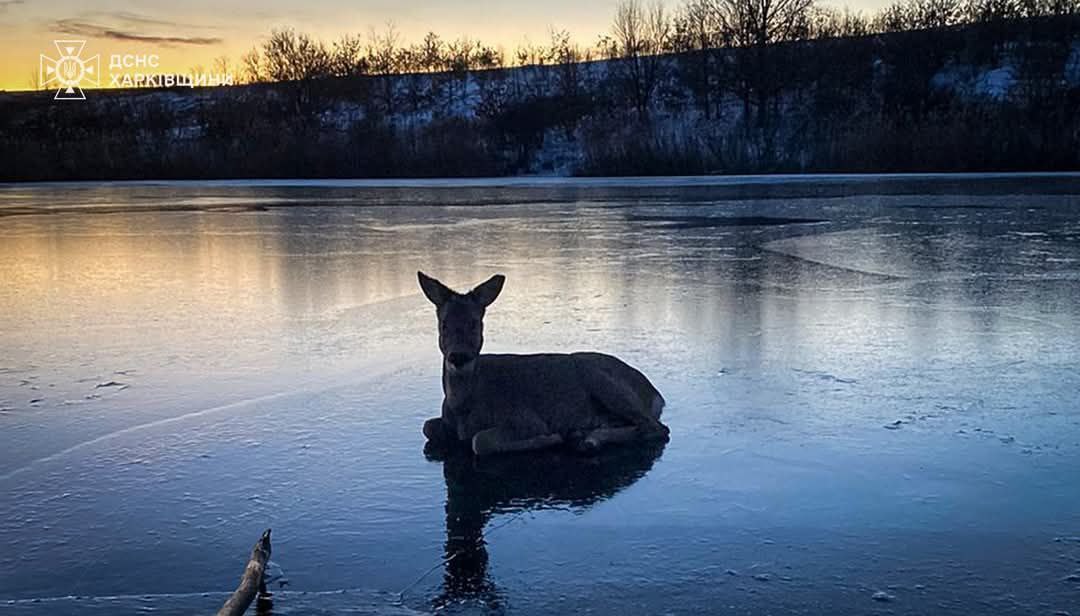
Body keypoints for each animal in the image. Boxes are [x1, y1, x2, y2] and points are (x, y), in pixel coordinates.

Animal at [414, 271, 660, 453]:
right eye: (444, 324)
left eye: (475, 323)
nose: (459, 357)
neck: (463, 407)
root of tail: (656, 395)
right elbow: (427, 426)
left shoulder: (525, 418)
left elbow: (479, 442)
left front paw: (550, 438)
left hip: (602, 380)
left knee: (656, 428)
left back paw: (588, 439)